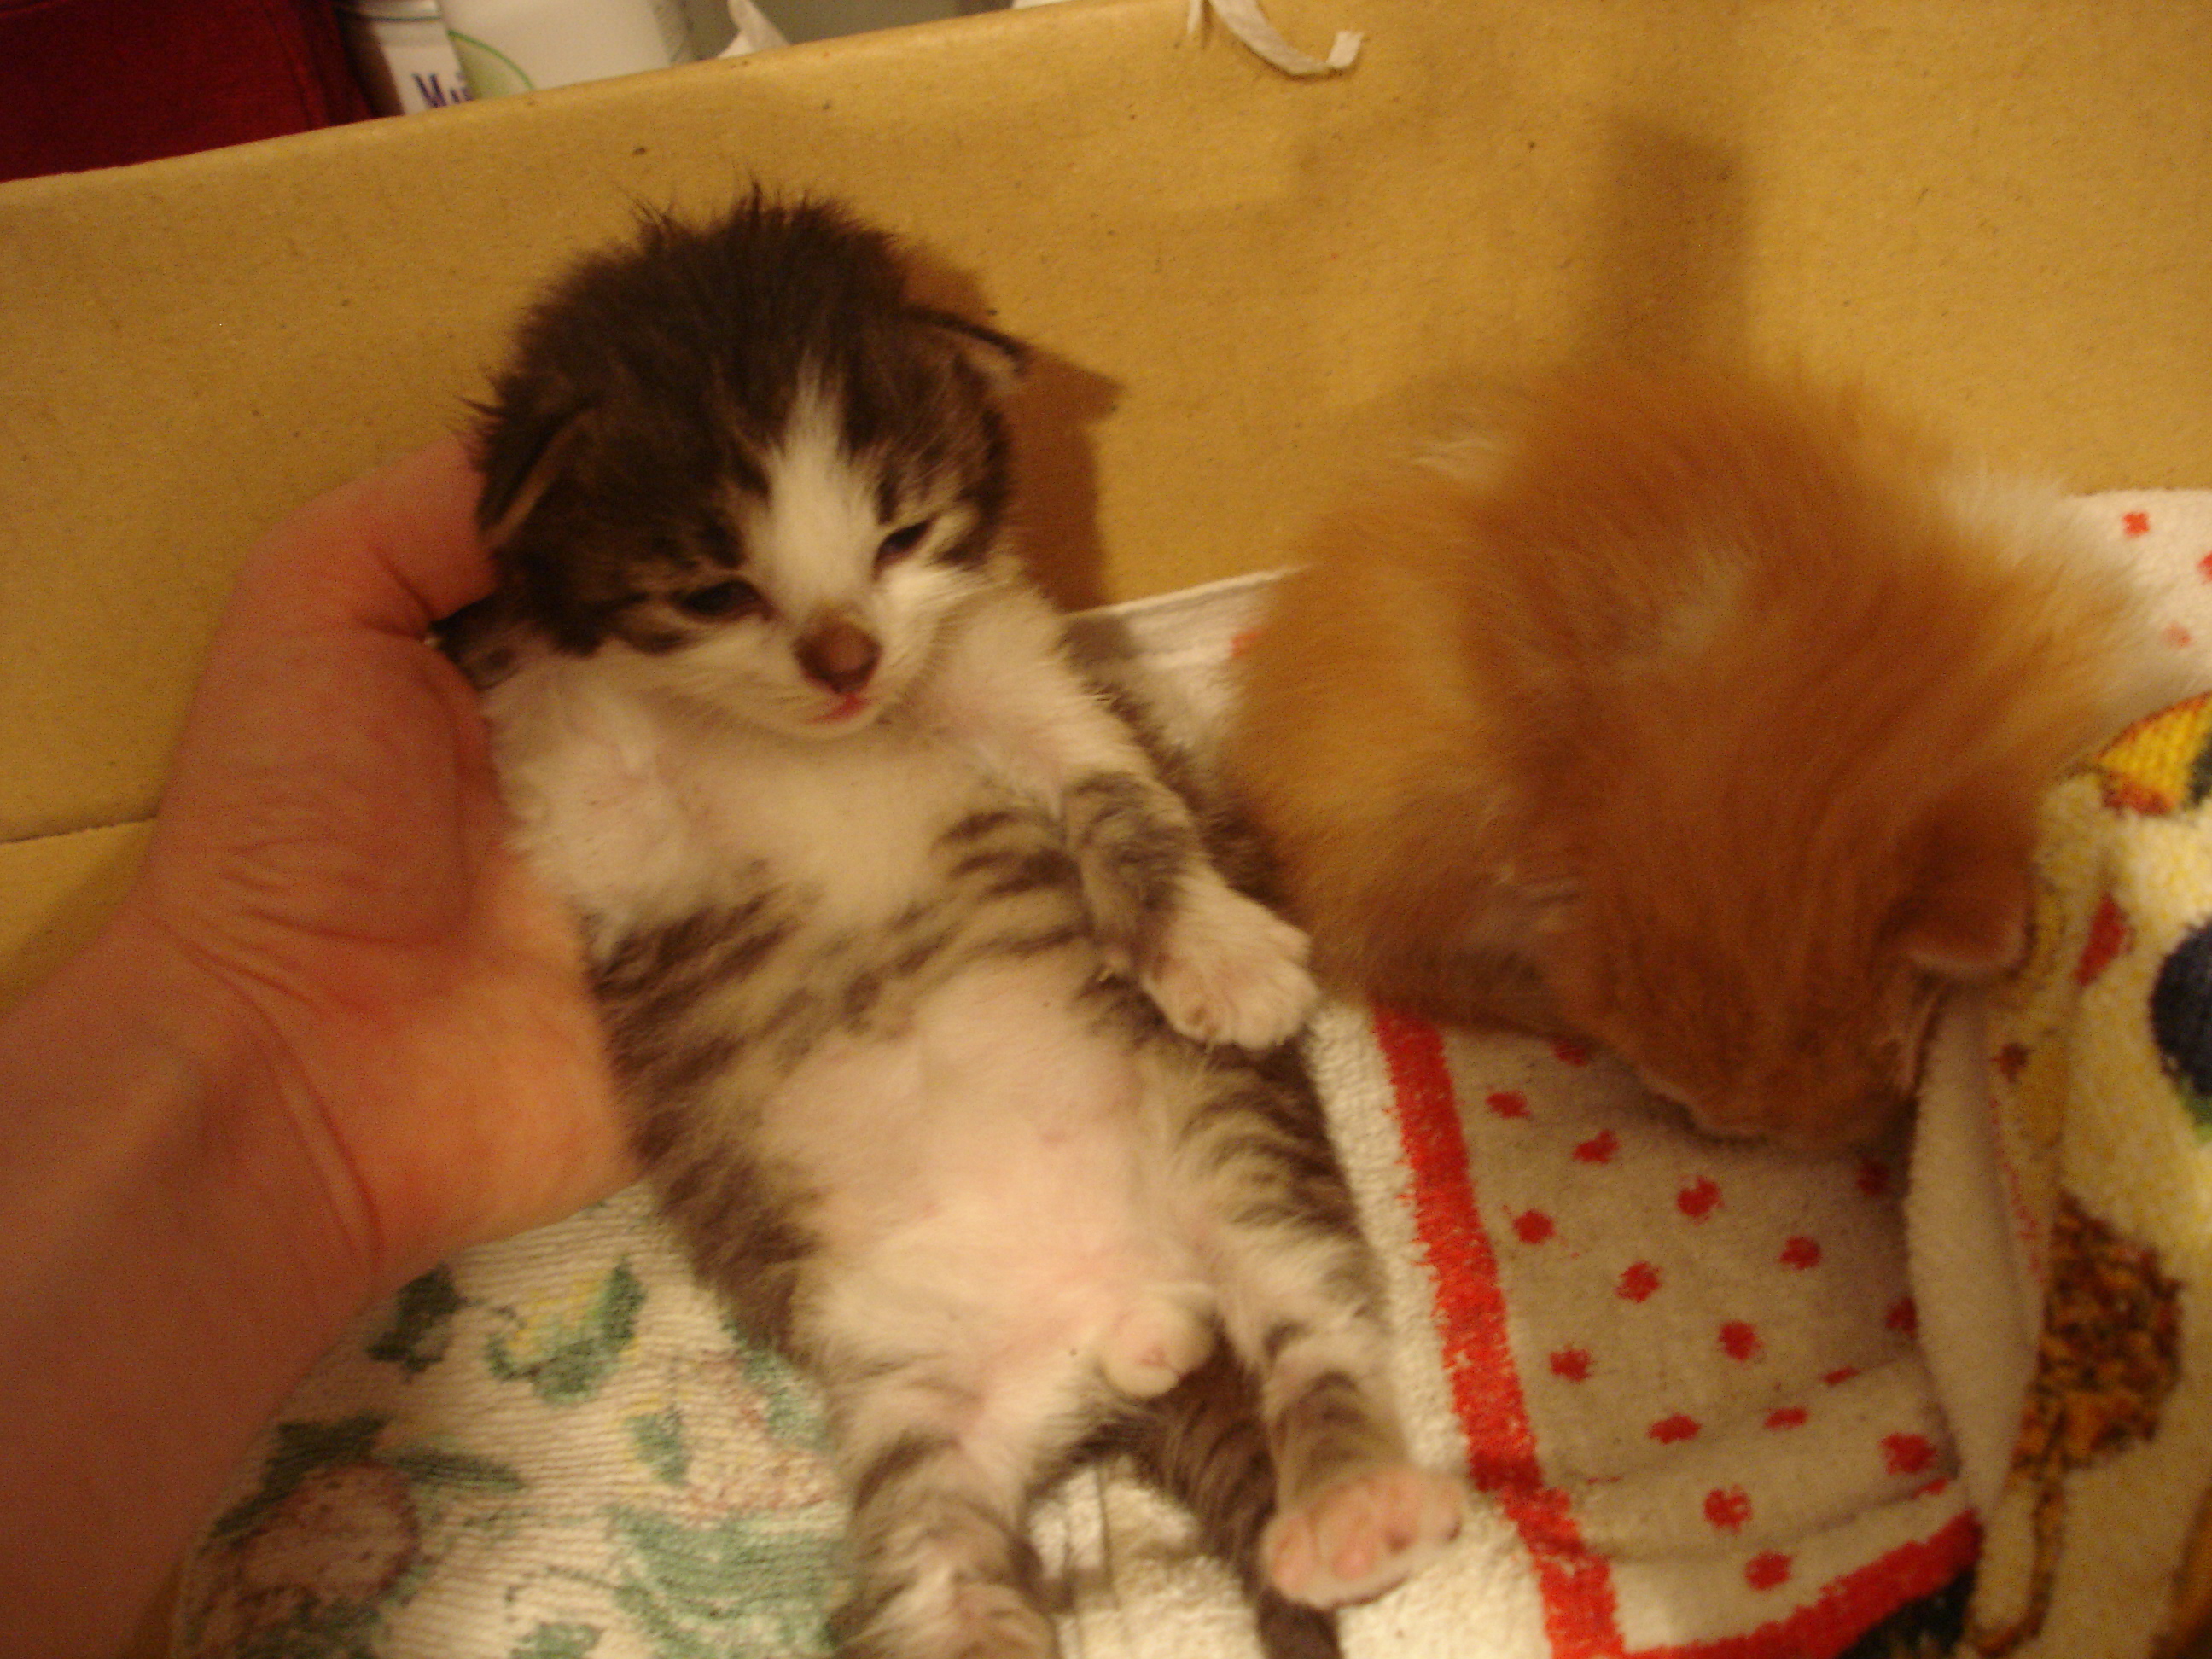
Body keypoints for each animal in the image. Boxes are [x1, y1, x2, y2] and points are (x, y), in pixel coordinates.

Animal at [443, 195, 1465, 1659]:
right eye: (715, 591)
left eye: (901, 536)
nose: (848, 659)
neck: (818, 740)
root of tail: (1112, 1318)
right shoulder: (608, 841)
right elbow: (566, 725)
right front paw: (489, 634)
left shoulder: (1019, 667)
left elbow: (1118, 793)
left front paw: (1219, 956)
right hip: (912, 1405)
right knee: (937, 1565)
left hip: (1231, 1155)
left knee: (1309, 1326)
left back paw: (1357, 1505)